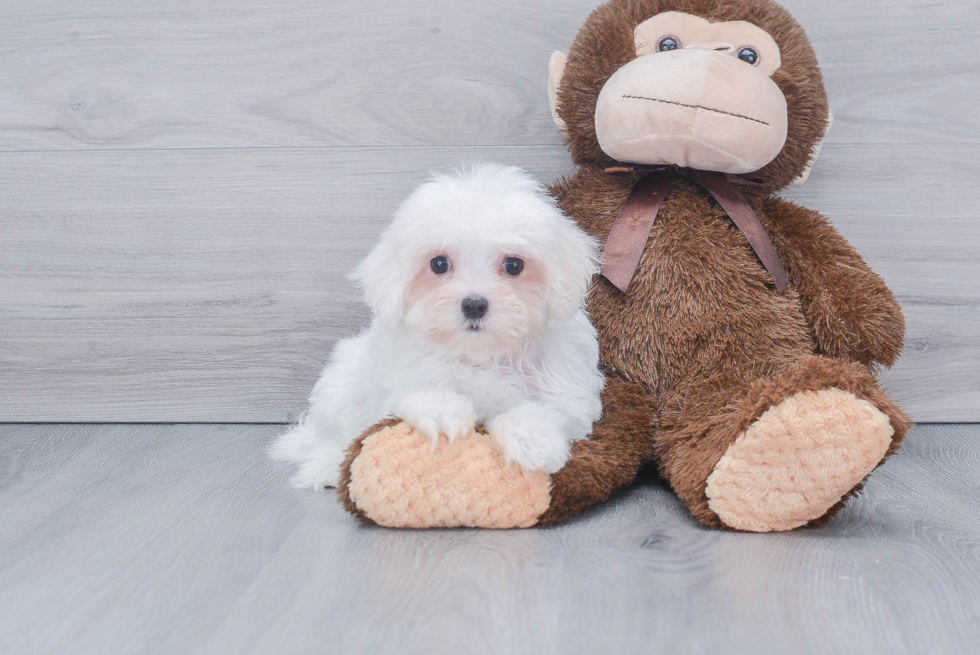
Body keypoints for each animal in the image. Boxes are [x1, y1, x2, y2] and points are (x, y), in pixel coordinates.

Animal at [270, 163, 604, 490]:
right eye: (439, 264)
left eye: (514, 265)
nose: (474, 304)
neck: (480, 355)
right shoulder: (400, 373)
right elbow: (418, 389)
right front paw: (442, 413)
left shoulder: (569, 389)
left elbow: (549, 410)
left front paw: (533, 441)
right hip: (341, 385)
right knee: (338, 432)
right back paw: (326, 464)